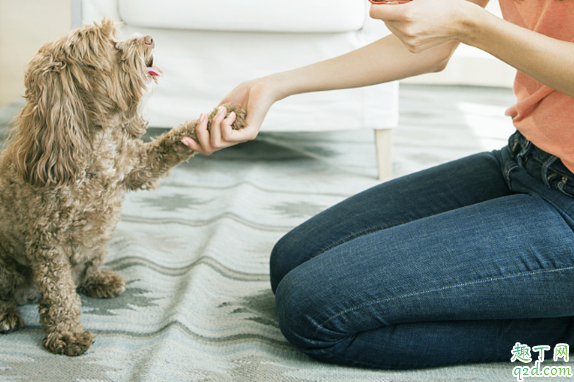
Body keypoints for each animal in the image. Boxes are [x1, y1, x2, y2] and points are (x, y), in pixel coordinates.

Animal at [0, 18, 245, 356]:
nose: (149, 38)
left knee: (84, 268)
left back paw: (98, 280)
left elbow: (175, 139)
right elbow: (60, 291)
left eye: (115, 36)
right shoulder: (46, 240)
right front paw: (67, 334)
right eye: (108, 47)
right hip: (8, 266)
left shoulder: (138, 165)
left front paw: (230, 113)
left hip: (97, 246)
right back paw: (6, 314)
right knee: (19, 290)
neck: (94, 142)